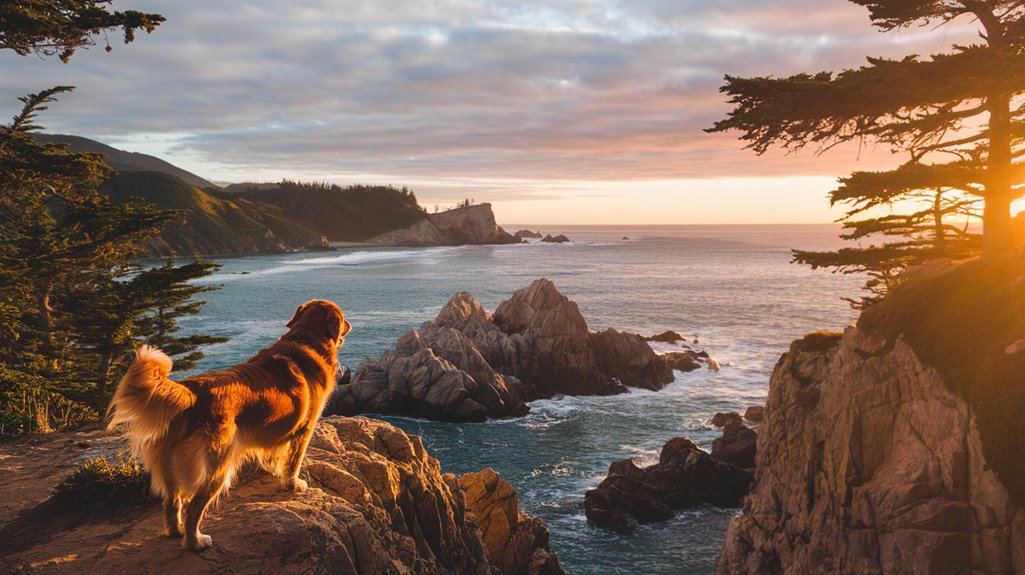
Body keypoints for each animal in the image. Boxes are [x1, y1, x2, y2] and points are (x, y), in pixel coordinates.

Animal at [106, 297, 350, 549]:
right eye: (342, 318)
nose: (349, 325)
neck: (307, 339)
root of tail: (192, 393)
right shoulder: (304, 430)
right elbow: (293, 462)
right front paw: (293, 484)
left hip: (169, 462)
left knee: (171, 502)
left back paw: (176, 531)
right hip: (218, 465)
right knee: (194, 507)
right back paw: (196, 542)